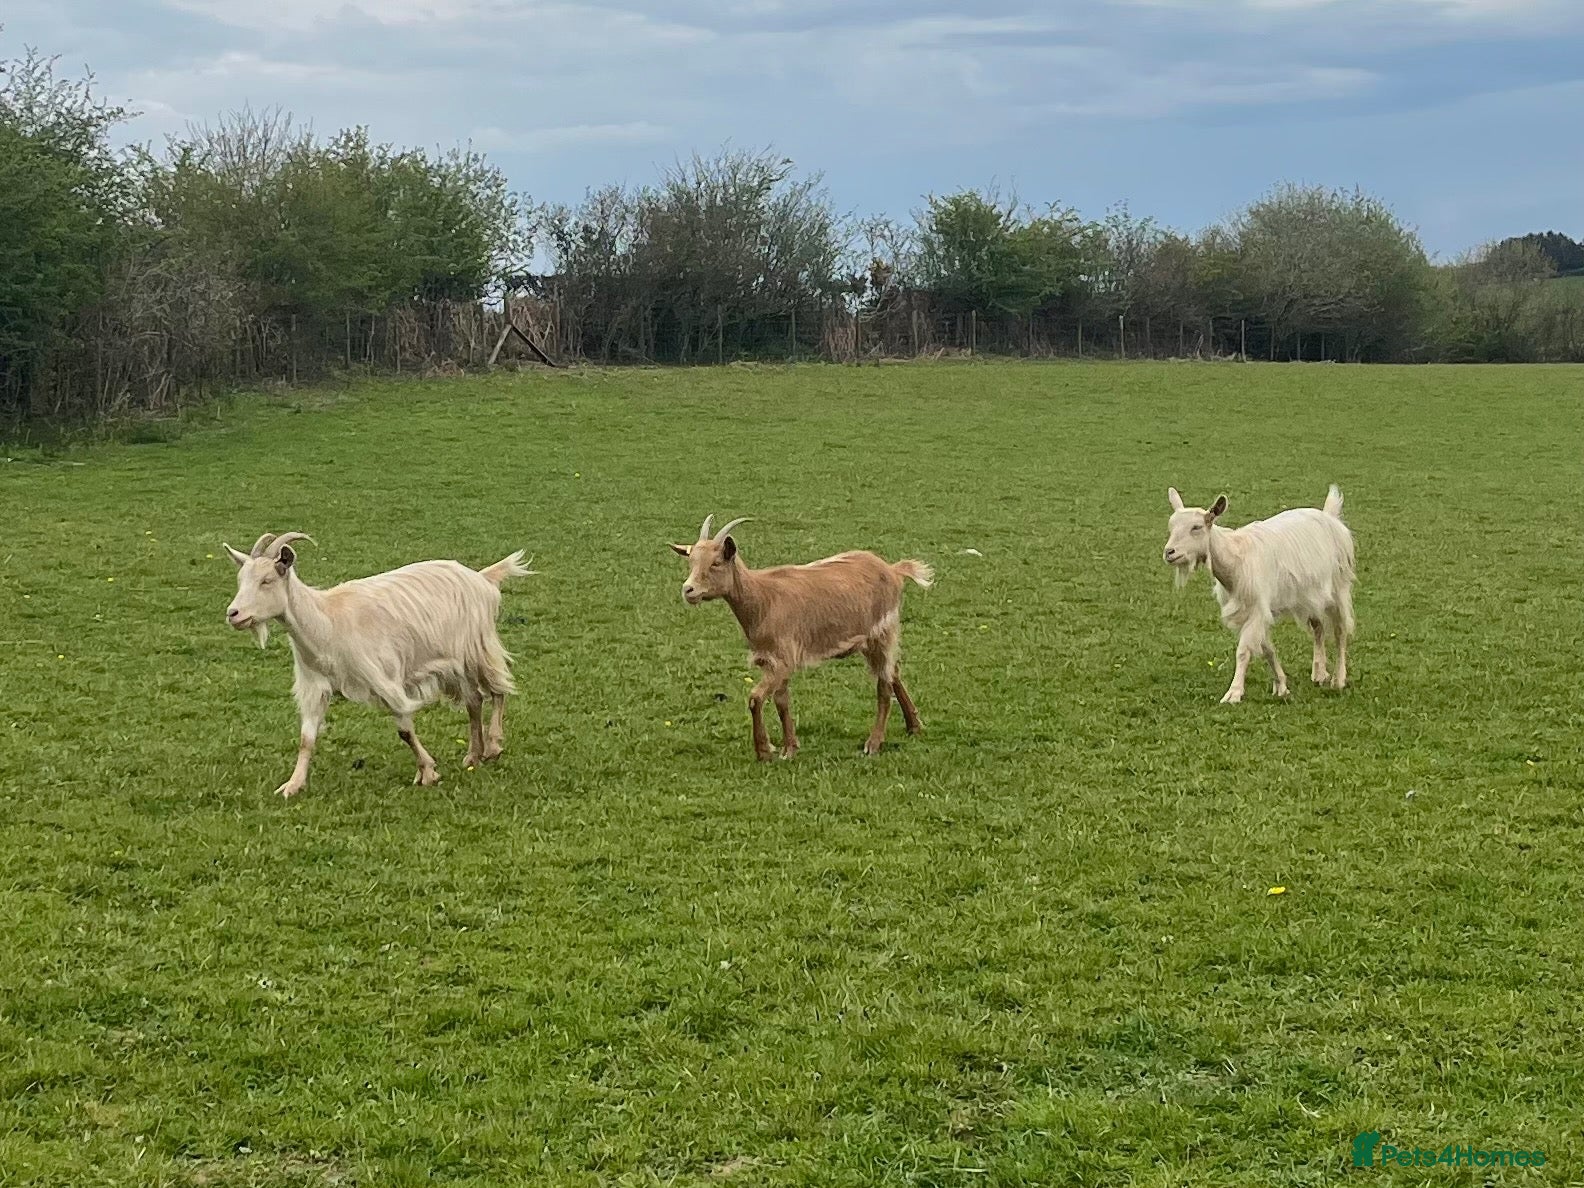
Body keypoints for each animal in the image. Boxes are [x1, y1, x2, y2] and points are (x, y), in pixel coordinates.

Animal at [224, 532, 533, 796]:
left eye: (266, 580)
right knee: (474, 701)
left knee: (498, 690)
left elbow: (404, 730)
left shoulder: (384, 679)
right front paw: (292, 785)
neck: (327, 623)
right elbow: (306, 738)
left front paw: (428, 772)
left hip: (477, 648)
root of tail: (481, 578)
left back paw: (493, 746)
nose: (233, 614)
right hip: (456, 665)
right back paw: (473, 755)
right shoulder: (314, 685)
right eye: (240, 580)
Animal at [669, 515, 933, 761]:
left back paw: (874, 744)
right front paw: (790, 748)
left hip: (881, 633)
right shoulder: (771, 661)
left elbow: (755, 698)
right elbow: (781, 702)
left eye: (716, 562)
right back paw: (914, 726)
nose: (688, 590)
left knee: (884, 685)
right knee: (893, 672)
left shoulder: (783, 660)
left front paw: (764, 751)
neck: (762, 598)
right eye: (691, 562)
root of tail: (893, 570)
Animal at [1162, 486, 1355, 704]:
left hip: (1338, 587)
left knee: (1340, 630)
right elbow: (1267, 649)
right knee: (1318, 628)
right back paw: (1320, 674)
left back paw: (1338, 679)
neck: (1236, 559)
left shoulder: (1257, 608)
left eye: (1196, 527)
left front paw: (1234, 692)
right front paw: (1281, 686)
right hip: (1309, 595)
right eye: (1171, 526)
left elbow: (1244, 650)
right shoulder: (1251, 610)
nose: (1169, 552)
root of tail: (1330, 516)